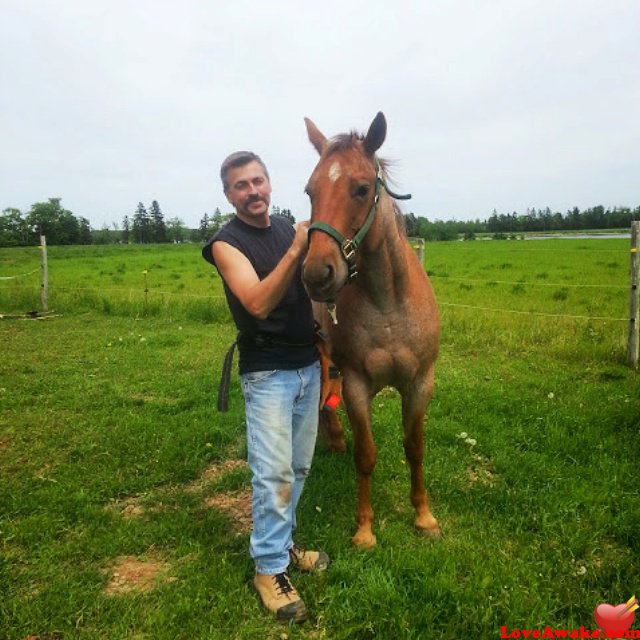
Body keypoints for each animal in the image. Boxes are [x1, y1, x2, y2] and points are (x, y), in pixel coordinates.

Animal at [302, 112, 438, 548]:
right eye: (310, 190)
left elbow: (414, 447)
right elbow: (366, 454)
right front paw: (364, 528)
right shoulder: (357, 385)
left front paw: (424, 516)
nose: (317, 274)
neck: (388, 305)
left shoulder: (420, 383)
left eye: (362, 189)